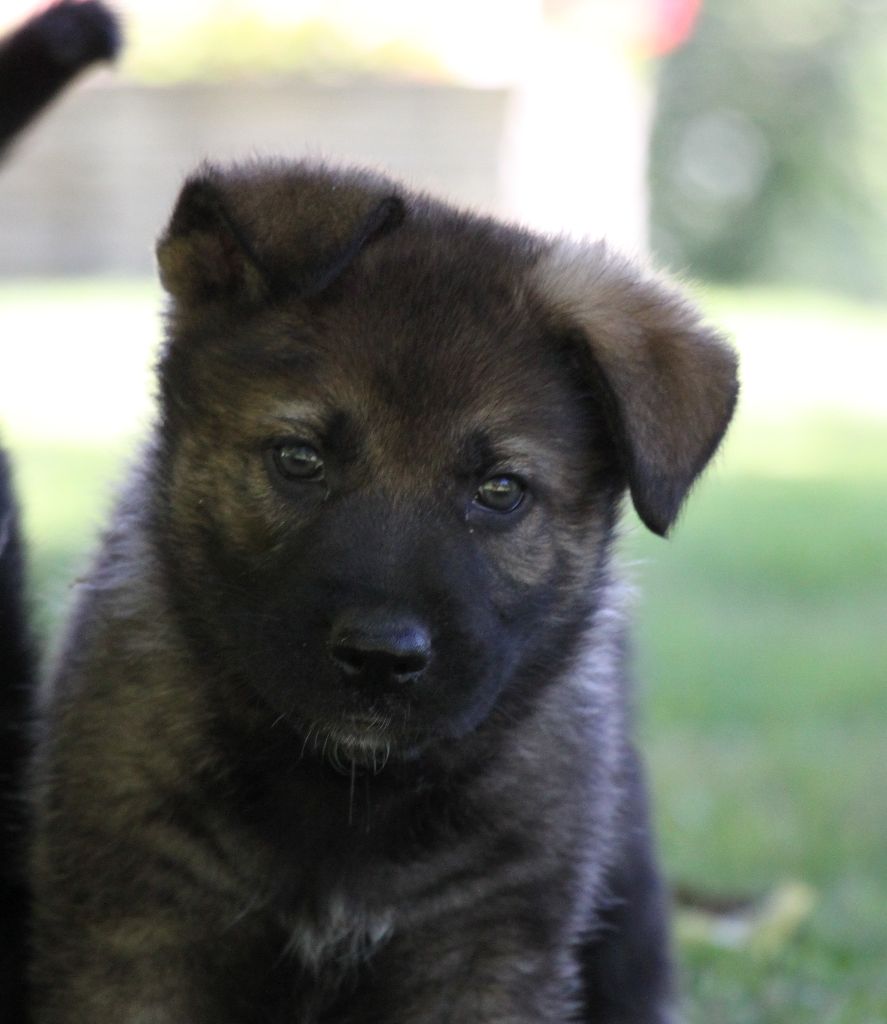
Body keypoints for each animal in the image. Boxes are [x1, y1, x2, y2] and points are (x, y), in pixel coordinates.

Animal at [29, 159, 733, 1024]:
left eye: (501, 491)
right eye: (298, 459)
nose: (379, 657)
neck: (344, 792)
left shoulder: (481, 954)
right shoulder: (132, 932)